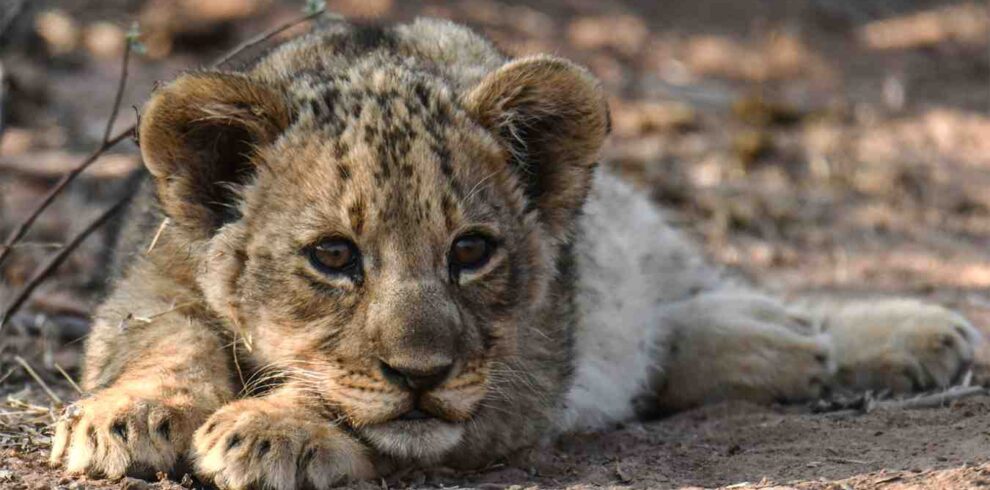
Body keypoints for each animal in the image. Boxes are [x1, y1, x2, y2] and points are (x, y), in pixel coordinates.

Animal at [49, 17, 981, 489]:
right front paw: (124, 417)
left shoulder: (522, 373)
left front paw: (272, 429)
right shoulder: (148, 277)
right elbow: (165, 340)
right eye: (334, 257)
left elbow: (370, 411)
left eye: (472, 250)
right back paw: (777, 340)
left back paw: (889, 334)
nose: (420, 373)